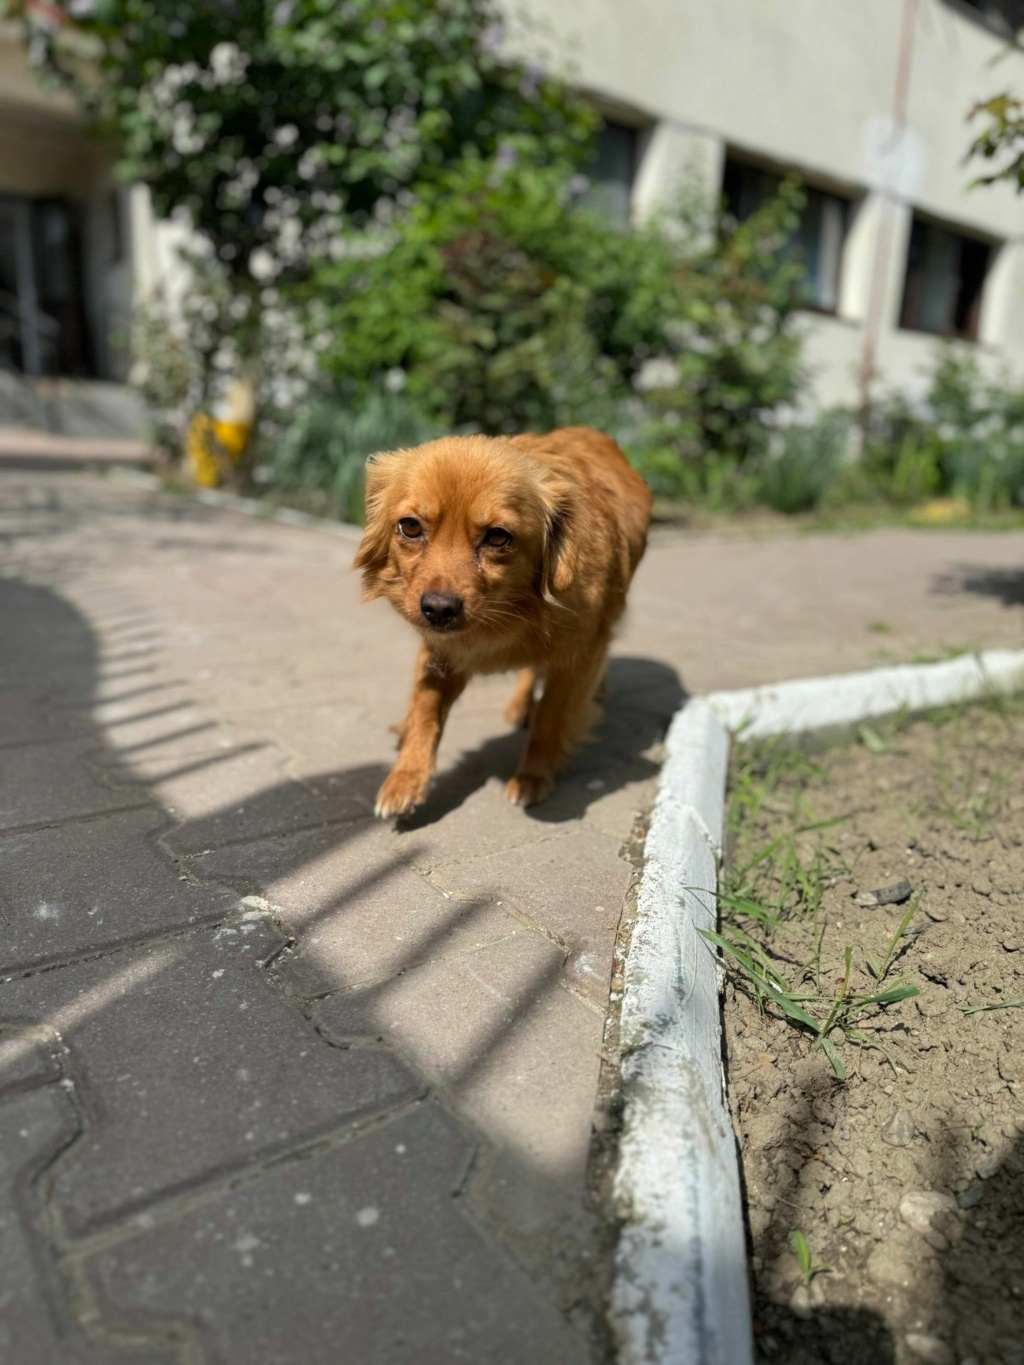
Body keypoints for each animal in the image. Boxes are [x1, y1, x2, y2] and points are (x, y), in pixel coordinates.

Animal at [357, 420, 652, 813]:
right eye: (411, 527)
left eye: (498, 537)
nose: (438, 609)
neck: (508, 616)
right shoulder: (440, 651)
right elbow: (425, 709)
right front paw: (406, 777)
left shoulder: (578, 655)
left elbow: (550, 718)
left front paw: (533, 777)